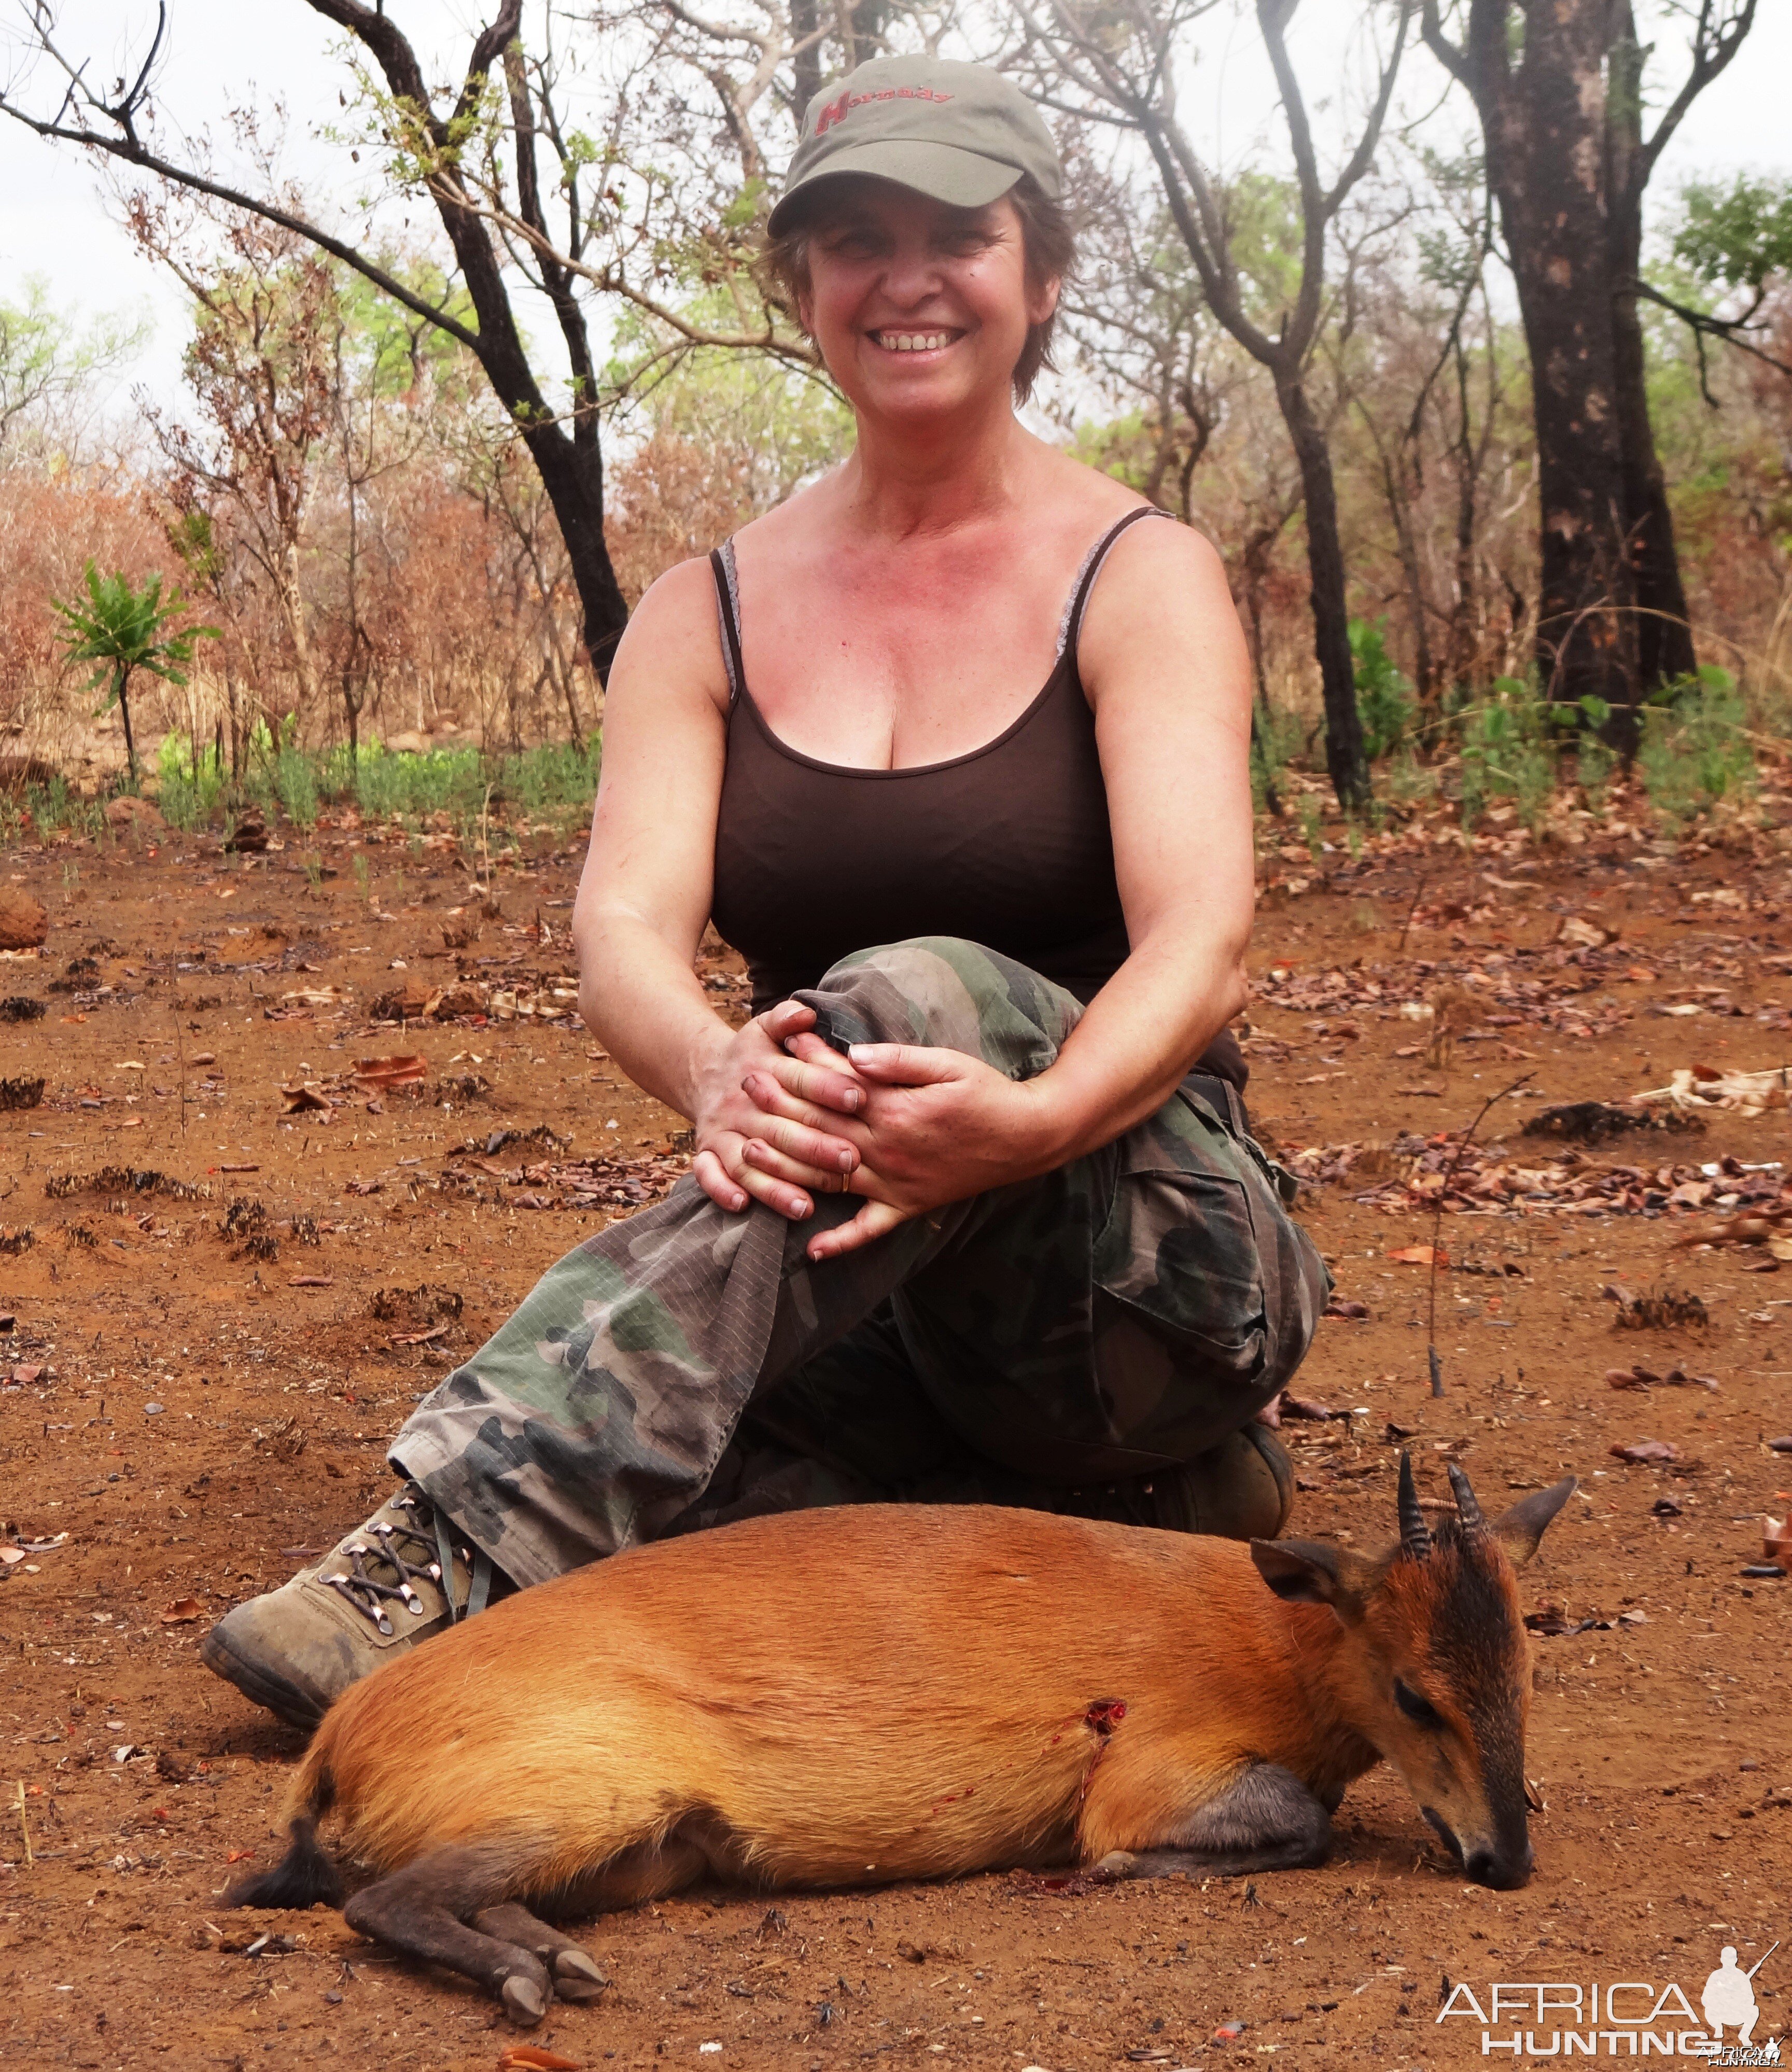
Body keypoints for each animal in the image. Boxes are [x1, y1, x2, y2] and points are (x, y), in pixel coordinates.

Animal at [234, 1459, 1566, 2022]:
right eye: (1412, 1692)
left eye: (1528, 1662)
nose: (1506, 1861)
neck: (1275, 1640)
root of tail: (328, 1757)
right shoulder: (1142, 1774)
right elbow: (1295, 1820)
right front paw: (1117, 1870)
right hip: (583, 1795)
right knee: (387, 1898)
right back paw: (525, 1979)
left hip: (636, 1844)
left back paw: (555, 1962)